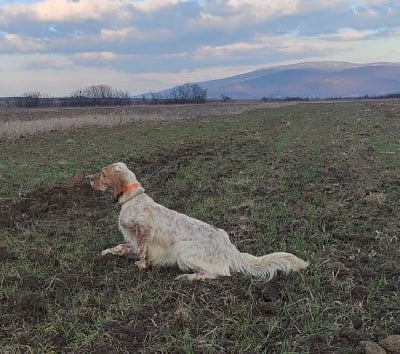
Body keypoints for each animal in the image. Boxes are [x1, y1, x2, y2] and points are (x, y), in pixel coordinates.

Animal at [90, 162, 310, 280]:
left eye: (103, 173)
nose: (89, 178)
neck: (132, 198)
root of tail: (231, 249)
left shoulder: (145, 229)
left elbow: (143, 252)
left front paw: (141, 266)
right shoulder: (132, 241)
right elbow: (119, 247)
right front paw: (104, 254)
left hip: (181, 249)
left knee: (219, 273)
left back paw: (186, 277)